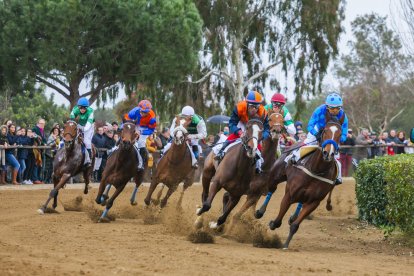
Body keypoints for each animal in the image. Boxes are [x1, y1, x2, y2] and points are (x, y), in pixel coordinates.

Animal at [266, 115, 344, 249]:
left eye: (340, 134)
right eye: (325, 131)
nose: (328, 153)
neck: (316, 169)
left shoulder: (314, 202)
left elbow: (295, 225)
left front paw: (285, 244)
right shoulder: (290, 194)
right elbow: (278, 220)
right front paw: (272, 224)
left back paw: (292, 217)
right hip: (275, 176)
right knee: (271, 189)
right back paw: (258, 212)